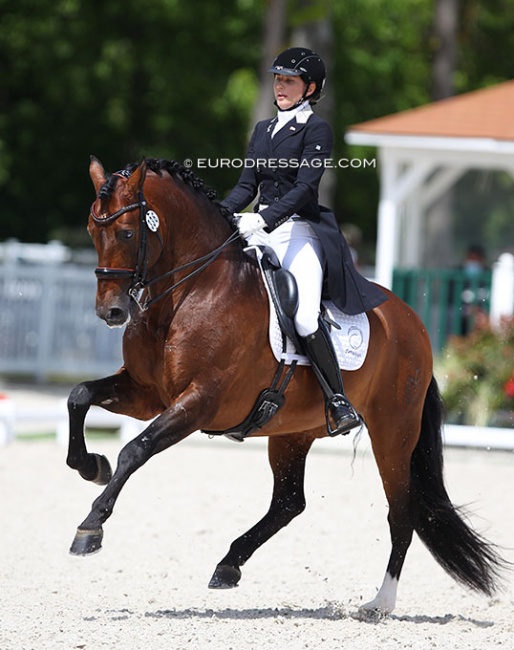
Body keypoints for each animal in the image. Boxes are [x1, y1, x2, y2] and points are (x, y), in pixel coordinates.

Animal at [67, 156, 504, 612]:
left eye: (127, 232)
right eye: (91, 230)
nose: (111, 312)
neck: (189, 293)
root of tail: (414, 324)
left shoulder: (200, 401)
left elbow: (136, 449)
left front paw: (91, 526)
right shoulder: (147, 394)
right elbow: (79, 396)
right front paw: (90, 465)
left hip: (393, 433)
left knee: (402, 511)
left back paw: (379, 603)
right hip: (292, 432)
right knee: (290, 502)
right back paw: (229, 565)